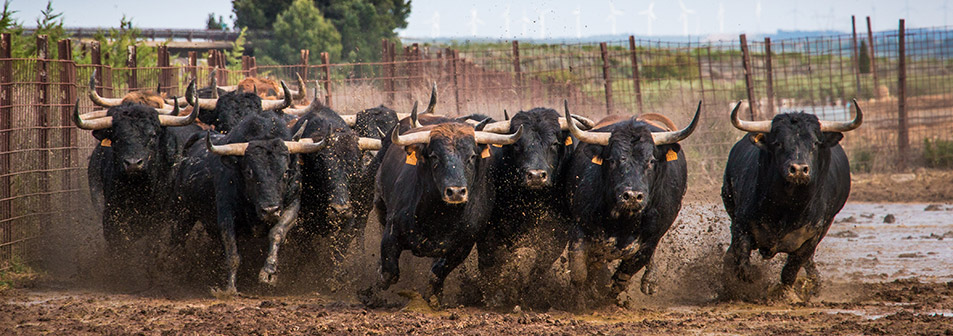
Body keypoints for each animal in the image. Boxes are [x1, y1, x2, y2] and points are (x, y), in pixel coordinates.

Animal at [720, 100, 864, 302]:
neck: (786, 208)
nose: (798, 169)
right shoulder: (741, 225)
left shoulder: (813, 235)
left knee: (807, 261)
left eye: (815, 143)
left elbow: (791, 269)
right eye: (778, 143)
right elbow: (742, 262)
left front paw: (786, 292)